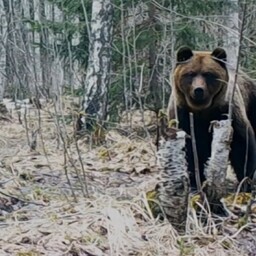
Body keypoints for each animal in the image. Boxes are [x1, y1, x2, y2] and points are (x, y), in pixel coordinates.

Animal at [167, 46, 256, 190]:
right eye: (190, 73)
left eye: (208, 74)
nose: (198, 90)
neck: (202, 110)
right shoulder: (182, 114)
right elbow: (190, 148)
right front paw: (195, 182)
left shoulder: (227, 111)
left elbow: (243, 145)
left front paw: (246, 180)